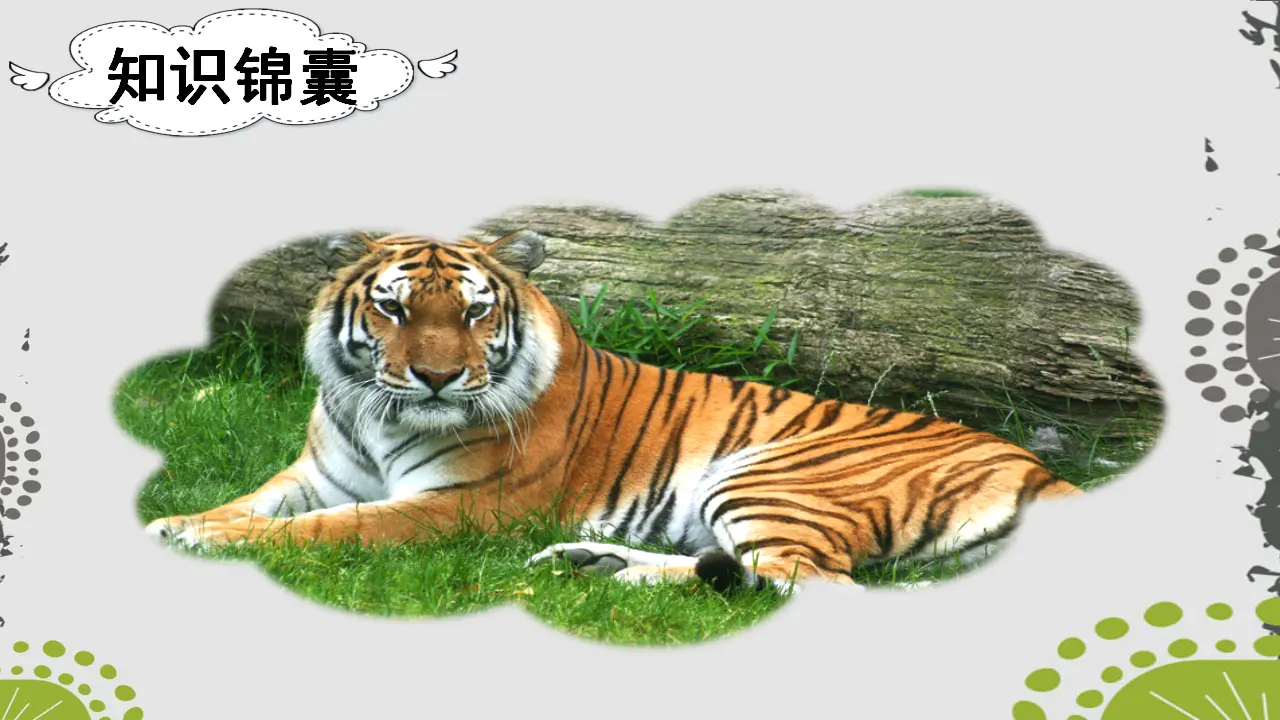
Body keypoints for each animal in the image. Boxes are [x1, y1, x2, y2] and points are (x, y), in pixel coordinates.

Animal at [146, 230, 1082, 591]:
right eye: (394, 309)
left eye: (476, 313)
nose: (440, 380)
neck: (380, 415)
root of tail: (1036, 464)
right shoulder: (316, 474)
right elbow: (249, 503)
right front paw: (180, 522)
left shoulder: (459, 506)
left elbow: (330, 531)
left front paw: (203, 541)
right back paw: (596, 565)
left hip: (767, 475)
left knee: (814, 586)